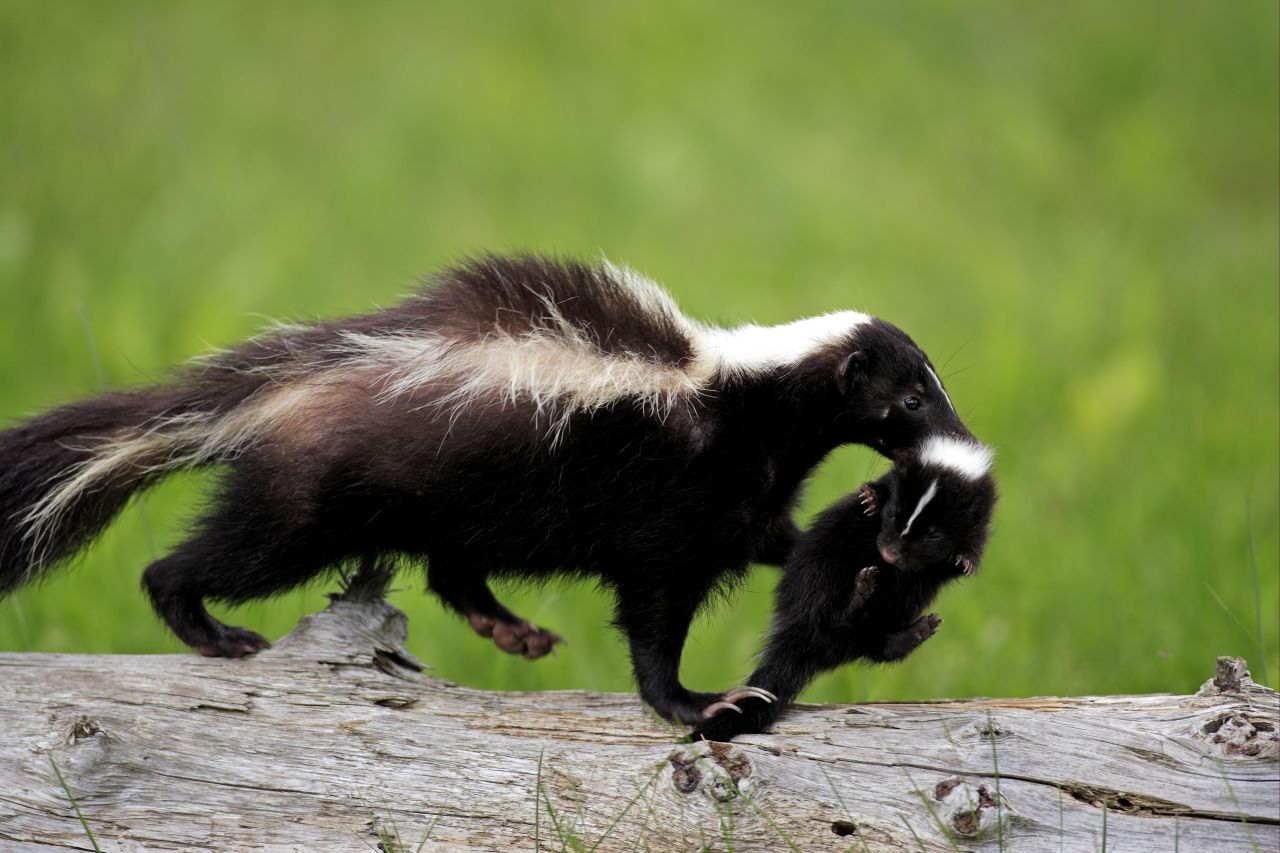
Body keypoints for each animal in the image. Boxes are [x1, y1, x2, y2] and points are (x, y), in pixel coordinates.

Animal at [0, 249, 967, 722]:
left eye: (932, 382)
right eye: (910, 395)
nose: (957, 435)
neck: (740, 392)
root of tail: (287, 381)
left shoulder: (739, 497)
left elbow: (779, 541)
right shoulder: (671, 497)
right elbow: (654, 613)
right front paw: (694, 699)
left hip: (453, 498)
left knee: (449, 565)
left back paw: (510, 628)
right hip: (312, 499)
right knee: (214, 556)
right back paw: (210, 630)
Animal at [691, 435, 998, 742]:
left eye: (933, 534)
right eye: (893, 514)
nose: (889, 554)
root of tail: (804, 638)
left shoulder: (979, 515)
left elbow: (968, 548)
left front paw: (964, 559)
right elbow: (873, 492)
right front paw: (871, 498)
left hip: (889, 612)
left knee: (873, 643)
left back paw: (915, 631)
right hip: (824, 566)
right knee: (832, 612)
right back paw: (860, 593)